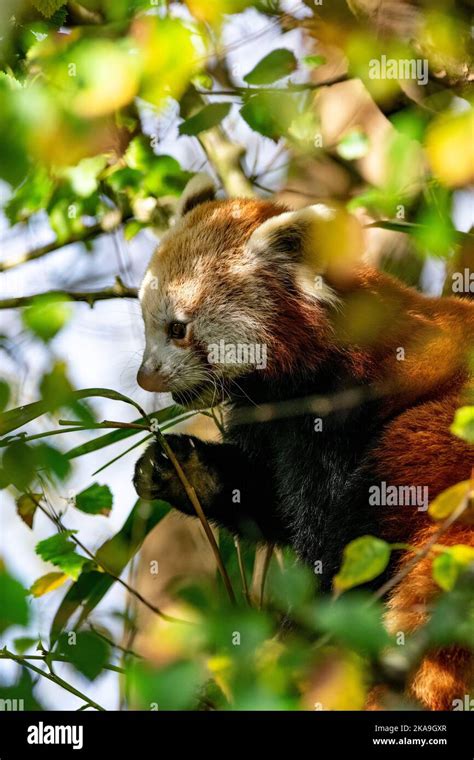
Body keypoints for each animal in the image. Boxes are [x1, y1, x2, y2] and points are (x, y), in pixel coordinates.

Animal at [133, 175, 474, 708]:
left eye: (177, 328)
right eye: (145, 321)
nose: (145, 378)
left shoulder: (339, 408)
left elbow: (320, 524)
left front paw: (312, 608)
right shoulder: (270, 417)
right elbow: (265, 496)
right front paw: (179, 470)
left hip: (440, 435)